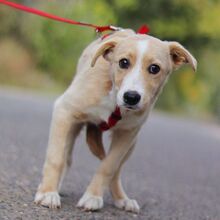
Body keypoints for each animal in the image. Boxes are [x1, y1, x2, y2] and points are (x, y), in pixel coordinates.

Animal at [34, 28, 198, 213]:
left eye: (154, 68)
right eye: (123, 62)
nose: (131, 97)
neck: (114, 98)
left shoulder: (127, 134)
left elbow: (108, 167)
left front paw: (93, 197)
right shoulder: (64, 111)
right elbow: (56, 158)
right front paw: (47, 193)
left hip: (131, 144)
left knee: (116, 171)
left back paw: (122, 199)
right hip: (72, 127)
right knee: (66, 158)